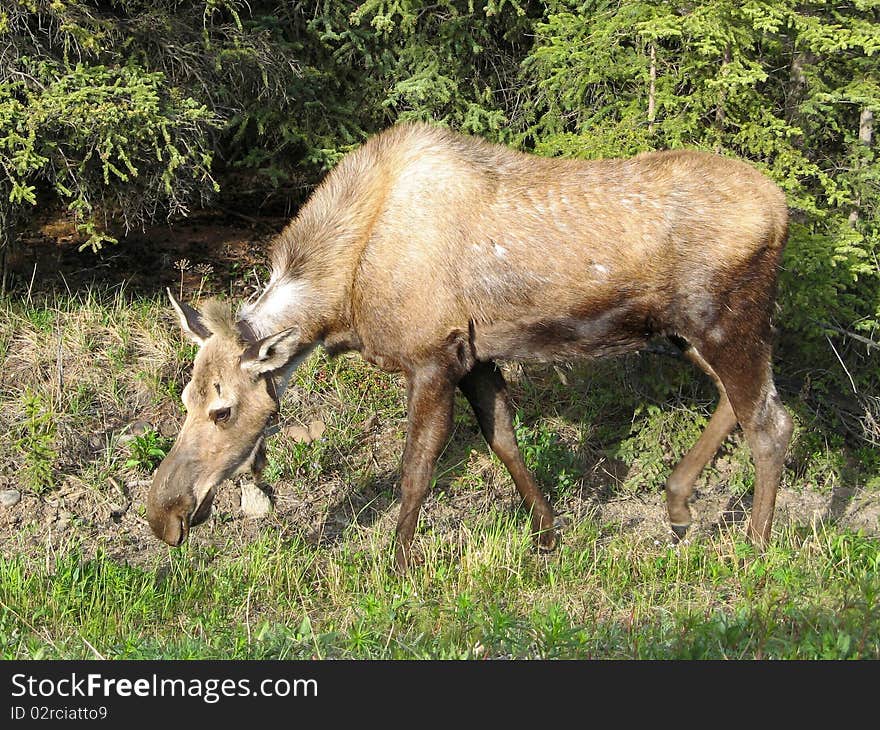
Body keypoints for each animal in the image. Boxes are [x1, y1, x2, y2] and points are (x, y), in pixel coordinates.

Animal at [148, 122, 796, 572]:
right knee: (743, 405)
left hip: (726, 321)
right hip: (686, 335)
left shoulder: (432, 357)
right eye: (185, 398)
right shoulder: (476, 357)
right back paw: (679, 507)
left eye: (223, 408)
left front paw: (399, 563)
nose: (163, 515)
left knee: (771, 421)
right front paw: (547, 536)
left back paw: (756, 546)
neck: (343, 297)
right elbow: (504, 440)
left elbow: (417, 468)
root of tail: (786, 209)